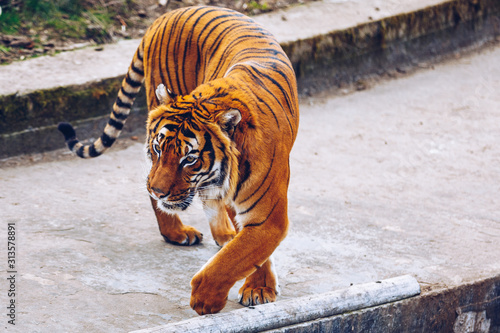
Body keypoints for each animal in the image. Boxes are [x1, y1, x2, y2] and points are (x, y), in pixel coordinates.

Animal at [60, 5, 298, 314]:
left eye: (189, 160)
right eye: (159, 149)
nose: (158, 191)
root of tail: (168, 14)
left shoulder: (267, 217)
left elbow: (240, 254)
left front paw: (243, 290)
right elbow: (241, 255)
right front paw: (220, 297)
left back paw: (221, 234)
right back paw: (176, 231)